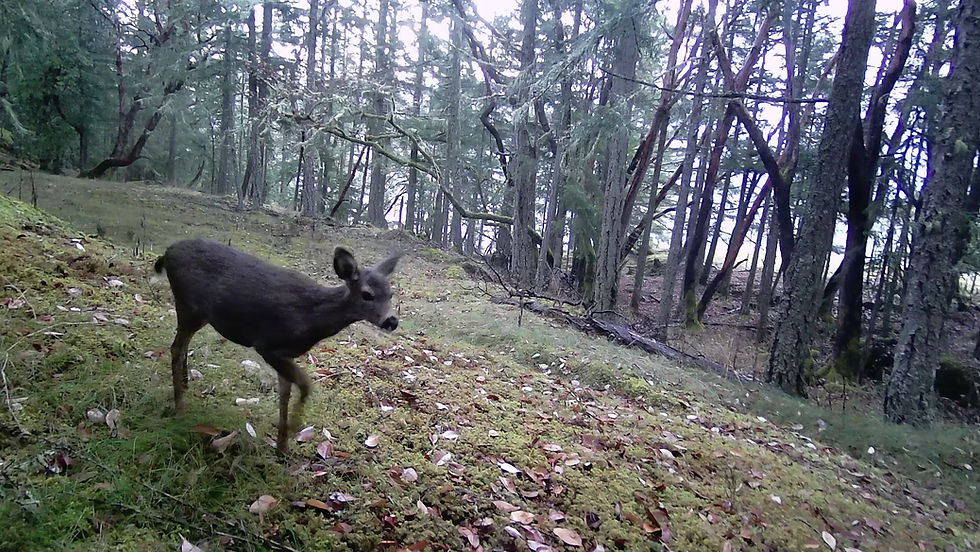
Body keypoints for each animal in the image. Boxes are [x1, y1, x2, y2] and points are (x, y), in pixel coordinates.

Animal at [153, 238, 402, 453]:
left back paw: (186, 384)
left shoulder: (286, 354)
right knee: (176, 348)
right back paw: (180, 410)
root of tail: (168, 252)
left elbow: (285, 393)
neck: (311, 318)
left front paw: (282, 448)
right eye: (367, 294)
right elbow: (305, 384)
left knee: (183, 345)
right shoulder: (267, 344)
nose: (391, 321)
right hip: (188, 305)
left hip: (199, 314)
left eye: (391, 293)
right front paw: (293, 429)